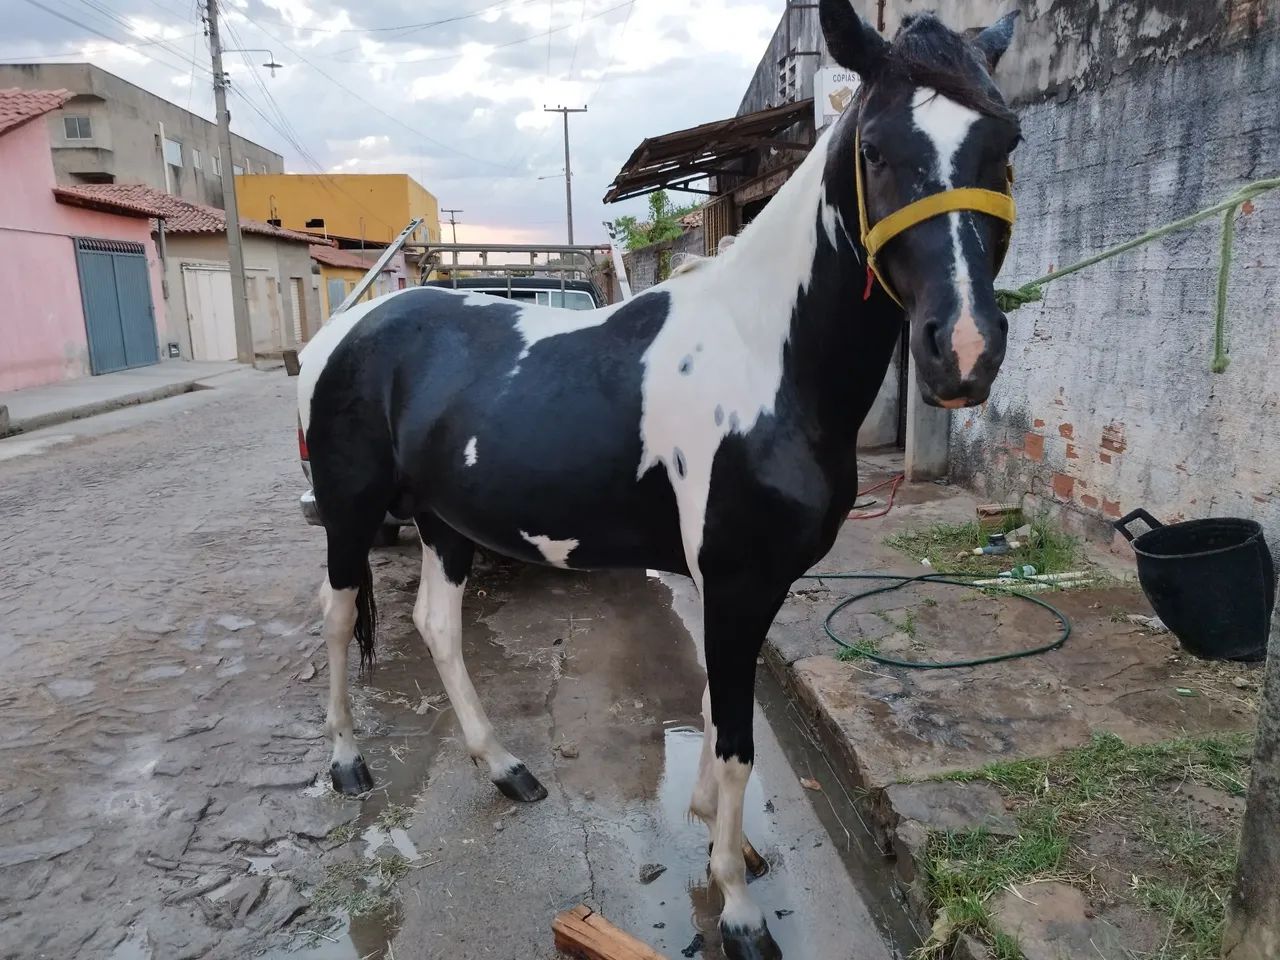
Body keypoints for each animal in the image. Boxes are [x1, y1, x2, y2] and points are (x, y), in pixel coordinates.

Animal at [297, 4, 1022, 956]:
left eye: (1006, 140)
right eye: (874, 148)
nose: (964, 351)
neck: (766, 361)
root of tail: (344, 331)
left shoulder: (747, 584)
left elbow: (718, 714)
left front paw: (726, 840)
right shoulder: (736, 578)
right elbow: (738, 738)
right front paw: (739, 907)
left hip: (449, 523)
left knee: (436, 629)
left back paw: (505, 768)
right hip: (350, 513)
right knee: (341, 617)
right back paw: (348, 762)